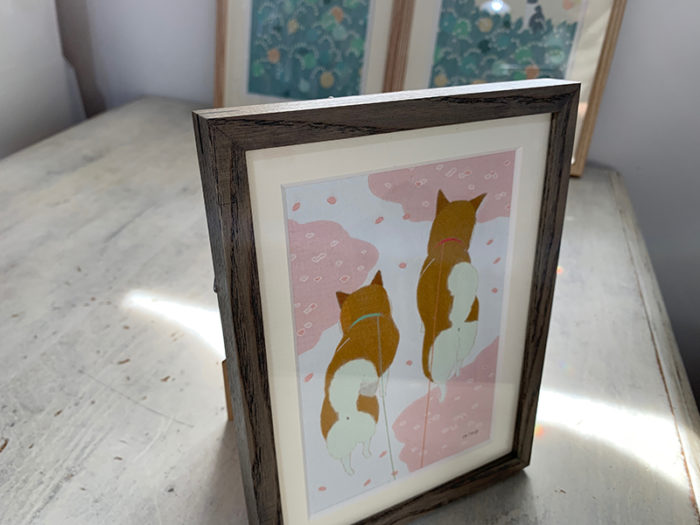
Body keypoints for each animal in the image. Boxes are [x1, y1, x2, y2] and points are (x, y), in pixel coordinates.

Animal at [320, 271, 399, 475]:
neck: (367, 315)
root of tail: (347, 412)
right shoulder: (386, 369)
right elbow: (385, 382)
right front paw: (384, 391)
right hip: (371, 422)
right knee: (364, 445)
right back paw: (367, 455)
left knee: (346, 459)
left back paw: (351, 471)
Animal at [417, 190, 485, 402]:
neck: (451, 241)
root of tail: (456, 324)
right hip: (468, 339)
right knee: (459, 362)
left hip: (435, 359)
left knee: (440, 382)